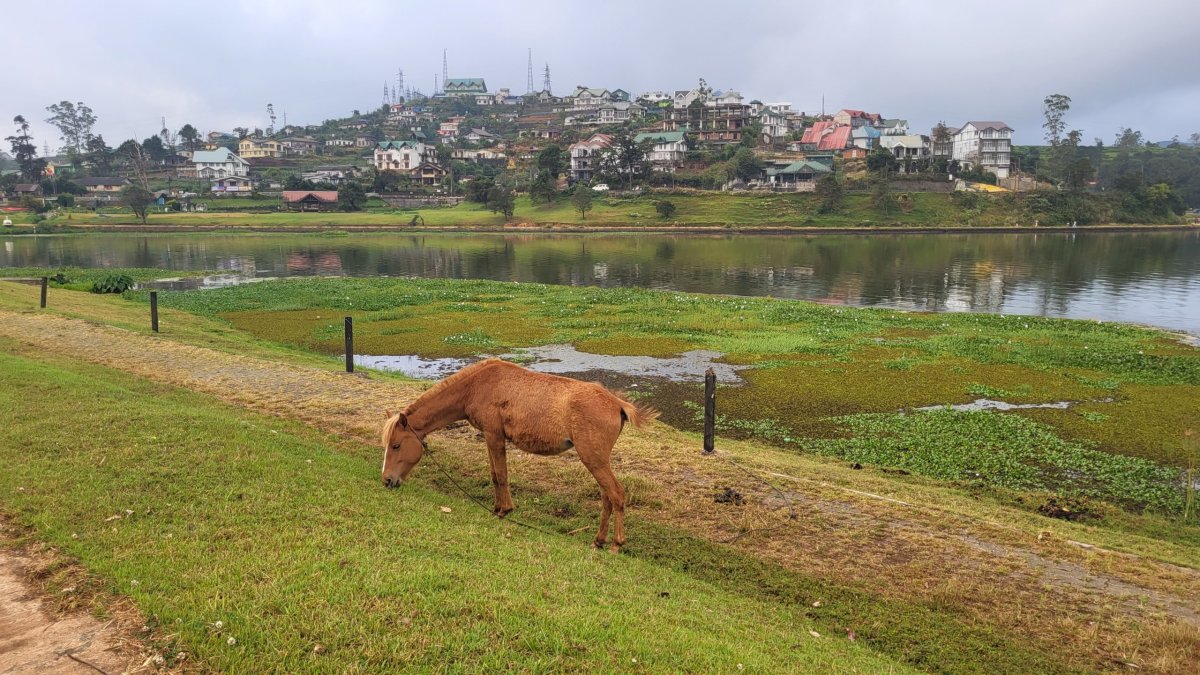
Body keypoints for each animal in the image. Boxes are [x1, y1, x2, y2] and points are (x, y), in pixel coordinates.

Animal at [381, 357, 657, 547]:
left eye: (396, 445)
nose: (386, 480)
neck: (476, 386)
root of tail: (617, 403)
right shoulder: (490, 438)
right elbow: (494, 475)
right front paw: (497, 508)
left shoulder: (494, 436)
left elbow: (502, 475)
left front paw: (505, 510)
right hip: (596, 461)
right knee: (607, 497)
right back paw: (599, 540)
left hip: (594, 460)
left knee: (616, 494)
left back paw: (616, 544)